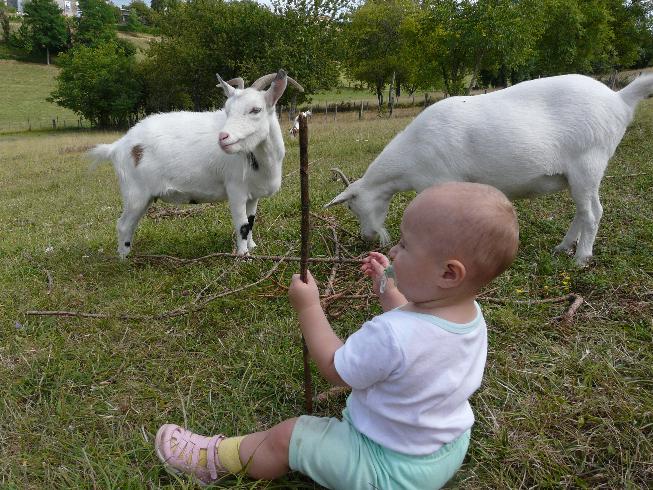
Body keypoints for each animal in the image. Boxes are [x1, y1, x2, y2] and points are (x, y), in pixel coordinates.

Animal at [88, 71, 304, 260]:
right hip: (135, 193)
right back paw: (124, 259)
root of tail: (119, 146)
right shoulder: (236, 189)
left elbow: (251, 221)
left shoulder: (253, 195)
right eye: (227, 110)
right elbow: (242, 225)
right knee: (123, 225)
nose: (223, 137)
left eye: (256, 109)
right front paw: (243, 256)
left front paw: (253, 247)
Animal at [326, 73, 652, 266]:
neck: (412, 156)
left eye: (352, 207)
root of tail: (619, 99)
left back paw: (581, 258)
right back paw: (562, 248)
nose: (367, 237)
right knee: (583, 212)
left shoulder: (441, 179)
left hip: (588, 163)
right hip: (579, 174)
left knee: (593, 213)